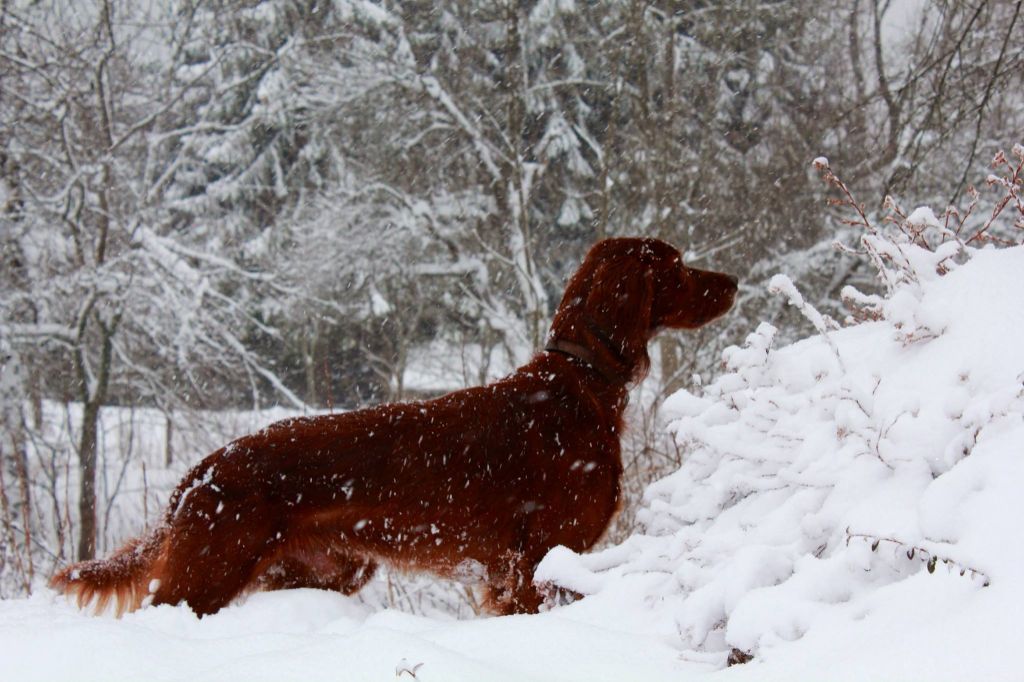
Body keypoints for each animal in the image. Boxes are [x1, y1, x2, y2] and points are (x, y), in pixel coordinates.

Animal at [51, 236, 737, 614]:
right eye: (679, 265)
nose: (732, 280)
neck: (579, 383)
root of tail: (201, 470)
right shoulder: (533, 564)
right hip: (206, 573)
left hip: (319, 571)